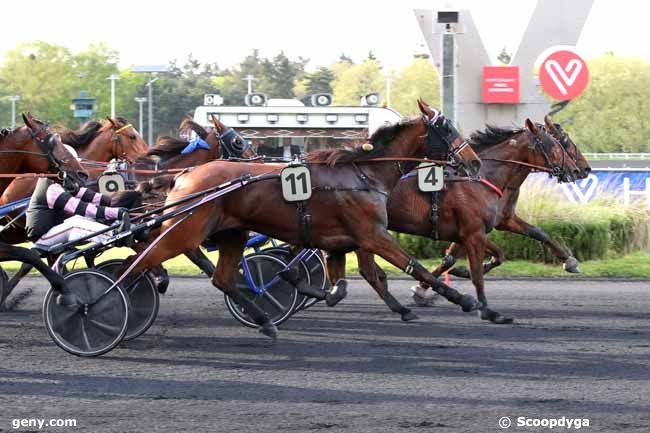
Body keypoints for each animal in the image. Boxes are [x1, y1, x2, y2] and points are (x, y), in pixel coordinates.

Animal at [124, 99, 484, 340]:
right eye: (447, 128)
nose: (475, 161)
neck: (363, 174)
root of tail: (184, 175)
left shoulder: (344, 240)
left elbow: (341, 282)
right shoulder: (373, 235)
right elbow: (415, 267)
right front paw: (469, 302)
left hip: (231, 234)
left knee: (221, 278)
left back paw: (265, 321)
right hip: (183, 232)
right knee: (138, 263)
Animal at [354, 120, 576, 322]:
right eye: (558, 145)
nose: (577, 170)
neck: (480, 177)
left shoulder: (484, 227)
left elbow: (511, 246)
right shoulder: (473, 231)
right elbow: (475, 270)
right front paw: (483, 306)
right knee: (369, 270)